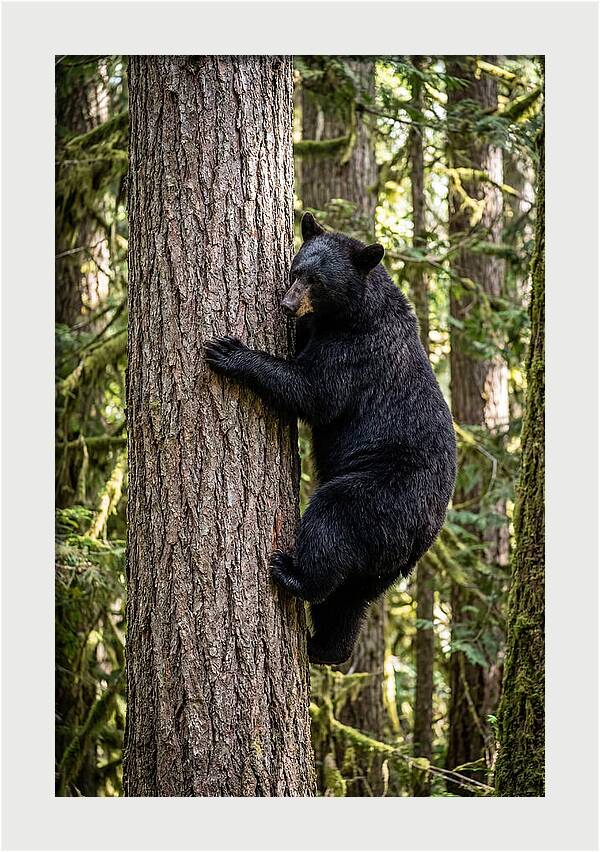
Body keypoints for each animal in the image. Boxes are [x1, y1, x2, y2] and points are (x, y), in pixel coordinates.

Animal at [205, 212, 456, 665]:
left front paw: (230, 351)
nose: (287, 304)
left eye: (317, 281)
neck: (353, 313)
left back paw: (291, 574)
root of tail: (425, 534)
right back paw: (326, 647)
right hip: (384, 562)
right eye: (296, 270)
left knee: (332, 523)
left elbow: (314, 391)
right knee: (350, 598)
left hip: (380, 495)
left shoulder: (356, 353)